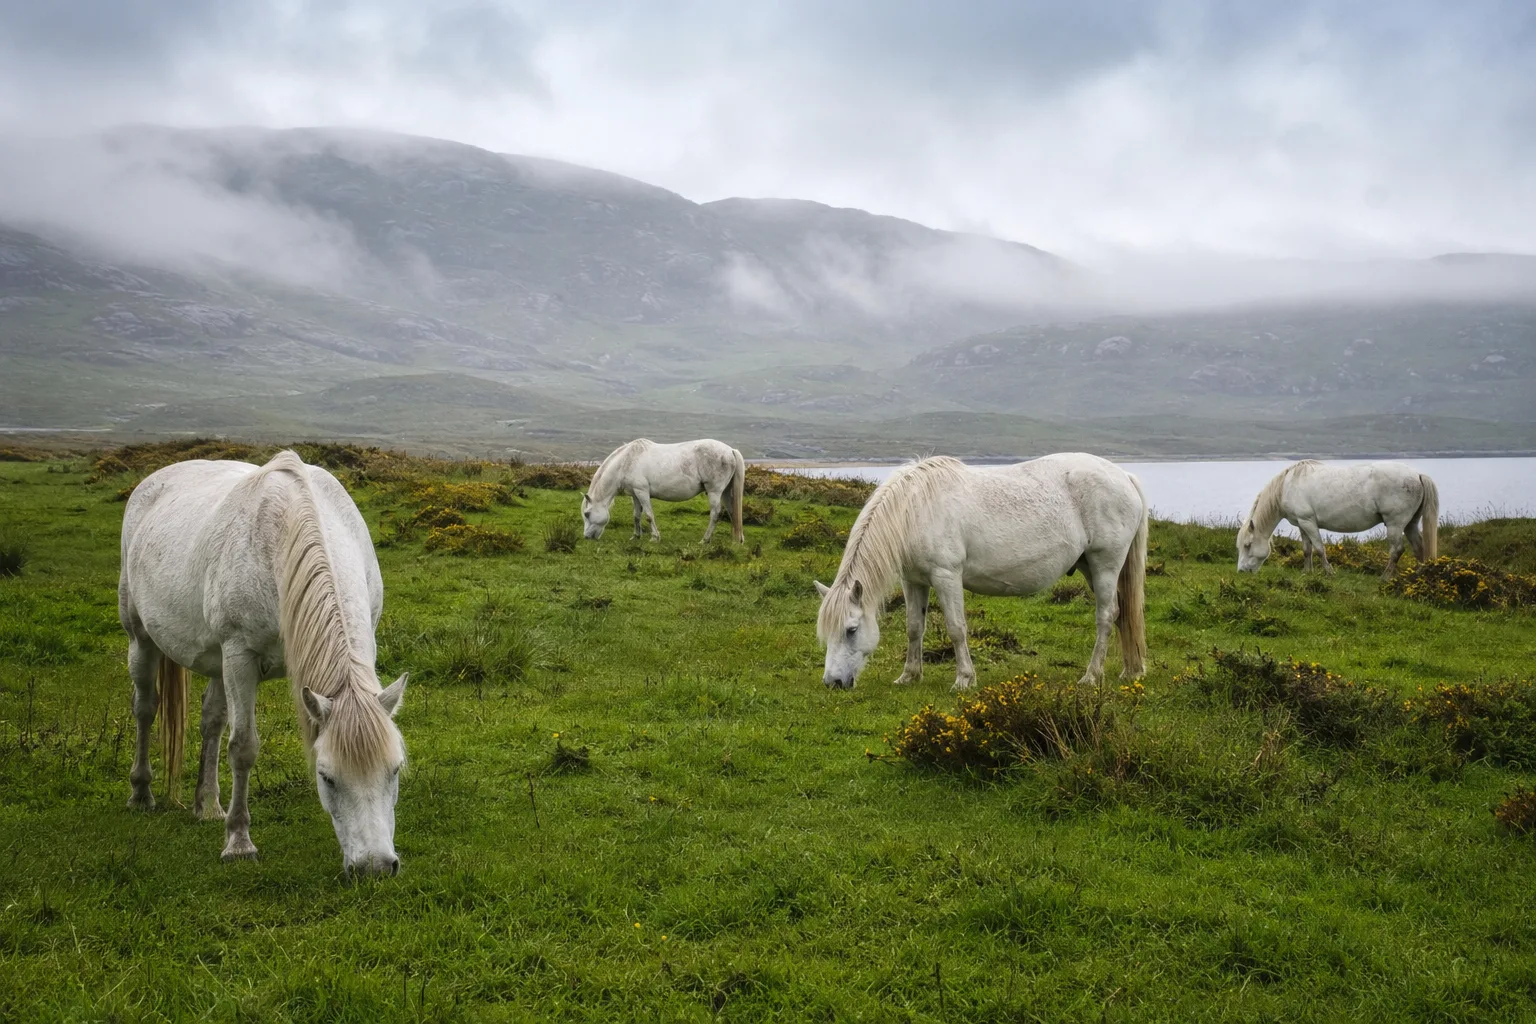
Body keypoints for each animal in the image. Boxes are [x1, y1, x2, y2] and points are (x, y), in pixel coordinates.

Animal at [118, 450, 408, 875]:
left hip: (216, 660)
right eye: (326, 777)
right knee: (145, 708)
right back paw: (141, 792)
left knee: (212, 720)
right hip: (142, 639)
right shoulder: (240, 656)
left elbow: (222, 729)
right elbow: (243, 747)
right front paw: (239, 842)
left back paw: (208, 805)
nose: (375, 867)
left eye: (395, 770)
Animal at [581, 438, 746, 543]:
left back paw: (705, 540)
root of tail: (730, 450)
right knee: (732, 512)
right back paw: (737, 539)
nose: (587, 537)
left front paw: (655, 537)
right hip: (725, 492)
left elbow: (648, 515)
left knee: (715, 514)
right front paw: (636, 536)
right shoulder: (635, 494)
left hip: (714, 492)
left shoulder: (642, 492)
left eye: (587, 514)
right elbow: (636, 516)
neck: (627, 461)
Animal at [815, 454, 1148, 692]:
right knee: (1121, 615)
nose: (833, 683)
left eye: (851, 630)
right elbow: (914, 628)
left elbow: (956, 628)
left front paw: (964, 679)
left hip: (1105, 565)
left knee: (1106, 616)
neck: (915, 510)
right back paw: (1130, 670)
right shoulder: (914, 581)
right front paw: (909, 676)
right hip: (1090, 567)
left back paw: (1092, 676)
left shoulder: (946, 576)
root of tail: (1125, 476)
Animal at [1236, 461, 1439, 578]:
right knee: (1418, 547)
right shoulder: (1302, 523)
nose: (1241, 571)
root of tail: (1418, 475)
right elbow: (1307, 549)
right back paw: (1418, 577)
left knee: (1397, 550)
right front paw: (1307, 572)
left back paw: (1385, 577)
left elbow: (1319, 548)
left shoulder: (1308, 521)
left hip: (1395, 524)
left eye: (1247, 545)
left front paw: (1329, 572)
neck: (1287, 485)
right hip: (1410, 524)